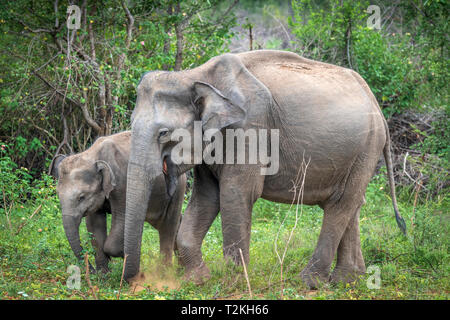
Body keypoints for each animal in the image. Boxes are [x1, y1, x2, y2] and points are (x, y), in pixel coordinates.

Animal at [51, 130, 186, 272]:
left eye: (81, 197)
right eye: (58, 194)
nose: (91, 270)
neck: (93, 155)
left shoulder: (122, 184)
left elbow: (121, 219)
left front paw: (123, 255)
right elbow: (94, 226)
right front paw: (103, 274)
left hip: (177, 188)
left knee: (168, 225)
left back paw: (166, 270)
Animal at [124, 50, 408, 288]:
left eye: (163, 133)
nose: (137, 280)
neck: (194, 75)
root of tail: (376, 103)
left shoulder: (250, 127)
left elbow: (235, 193)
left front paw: (234, 282)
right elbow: (208, 196)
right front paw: (198, 280)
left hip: (367, 146)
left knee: (341, 204)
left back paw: (310, 282)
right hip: (359, 151)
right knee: (350, 203)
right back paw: (348, 281)